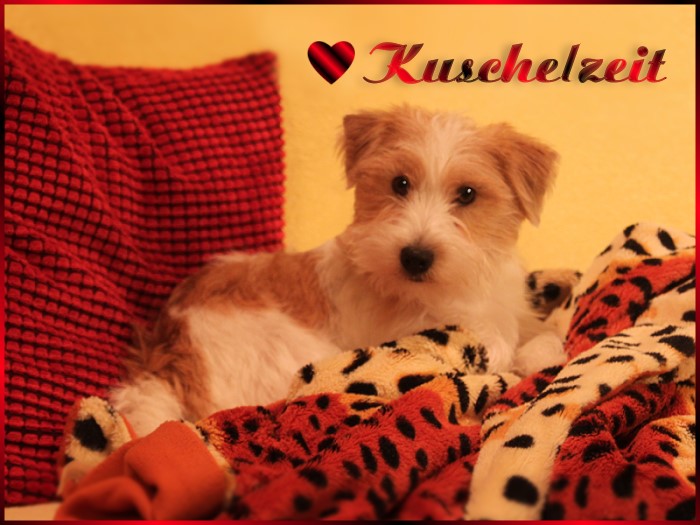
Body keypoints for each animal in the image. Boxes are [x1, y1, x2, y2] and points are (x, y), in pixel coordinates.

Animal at [111, 106, 567, 435]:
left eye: (468, 194)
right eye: (400, 184)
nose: (414, 256)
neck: (448, 291)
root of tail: (163, 351)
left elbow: (542, 336)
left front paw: (542, 351)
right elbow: (496, 345)